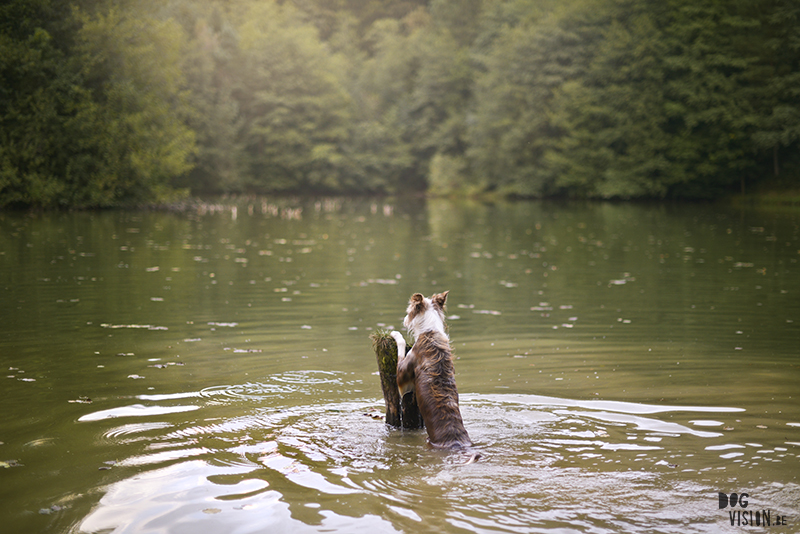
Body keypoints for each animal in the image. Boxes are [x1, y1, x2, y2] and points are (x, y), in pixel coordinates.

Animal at [390, 294, 476, 452]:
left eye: (408, 312)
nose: (404, 319)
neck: (430, 330)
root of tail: (456, 443)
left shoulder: (402, 377)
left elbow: (401, 345)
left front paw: (395, 333)